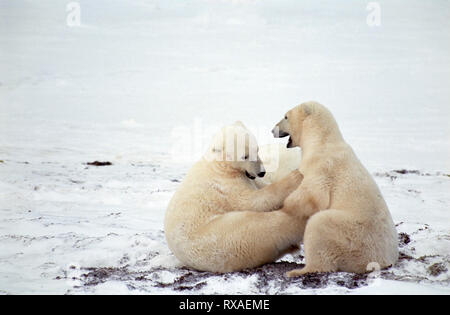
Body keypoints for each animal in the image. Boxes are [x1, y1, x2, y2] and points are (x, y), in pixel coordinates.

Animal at [163, 122, 304, 272]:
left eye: (257, 149)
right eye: (245, 156)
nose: (261, 172)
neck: (220, 165)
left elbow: (260, 186)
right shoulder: (225, 186)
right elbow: (252, 201)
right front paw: (295, 177)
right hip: (223, 235)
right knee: (263, 226)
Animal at [272, 102, 400, 276]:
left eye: (285, 116)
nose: (272, 129)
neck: (322, 142)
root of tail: (384, 261)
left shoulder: (321, 166)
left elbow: (313, 196)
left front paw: (285, 206)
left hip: (352, 236)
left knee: (319, 224)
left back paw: (297, 270)